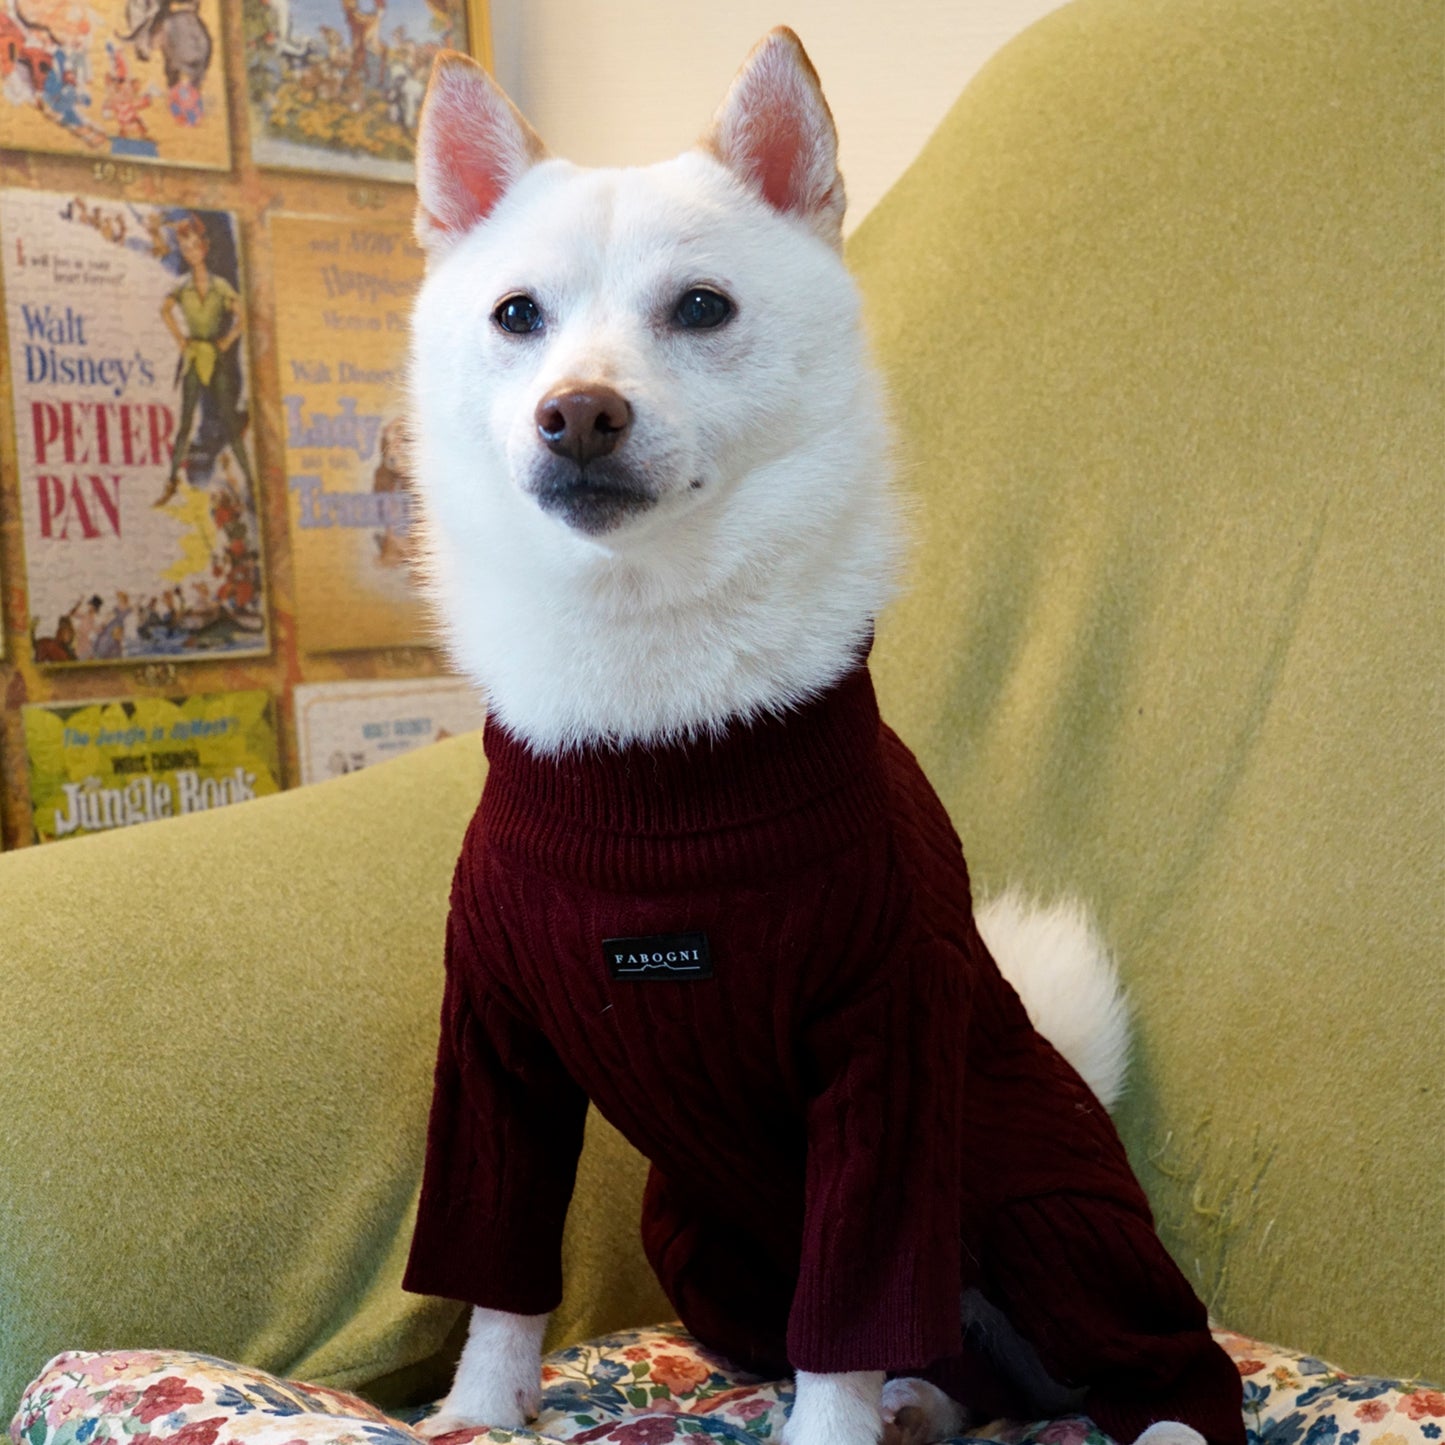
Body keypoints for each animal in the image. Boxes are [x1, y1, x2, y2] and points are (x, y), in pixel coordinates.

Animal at [401, 25, 1236, 1445]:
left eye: (700, 308)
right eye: (516, 316)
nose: (578, 411)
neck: (656, 730)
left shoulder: (883, 1062)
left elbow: (848, 1313)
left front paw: (832, 1429)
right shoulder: (499, 1051)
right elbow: (498, 1265)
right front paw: (477, 1404)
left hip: (1041, 1217)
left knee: (1142, 1362)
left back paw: (1138, 1412)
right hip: (696, 1228)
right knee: (952, 1373)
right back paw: (923, 1401)